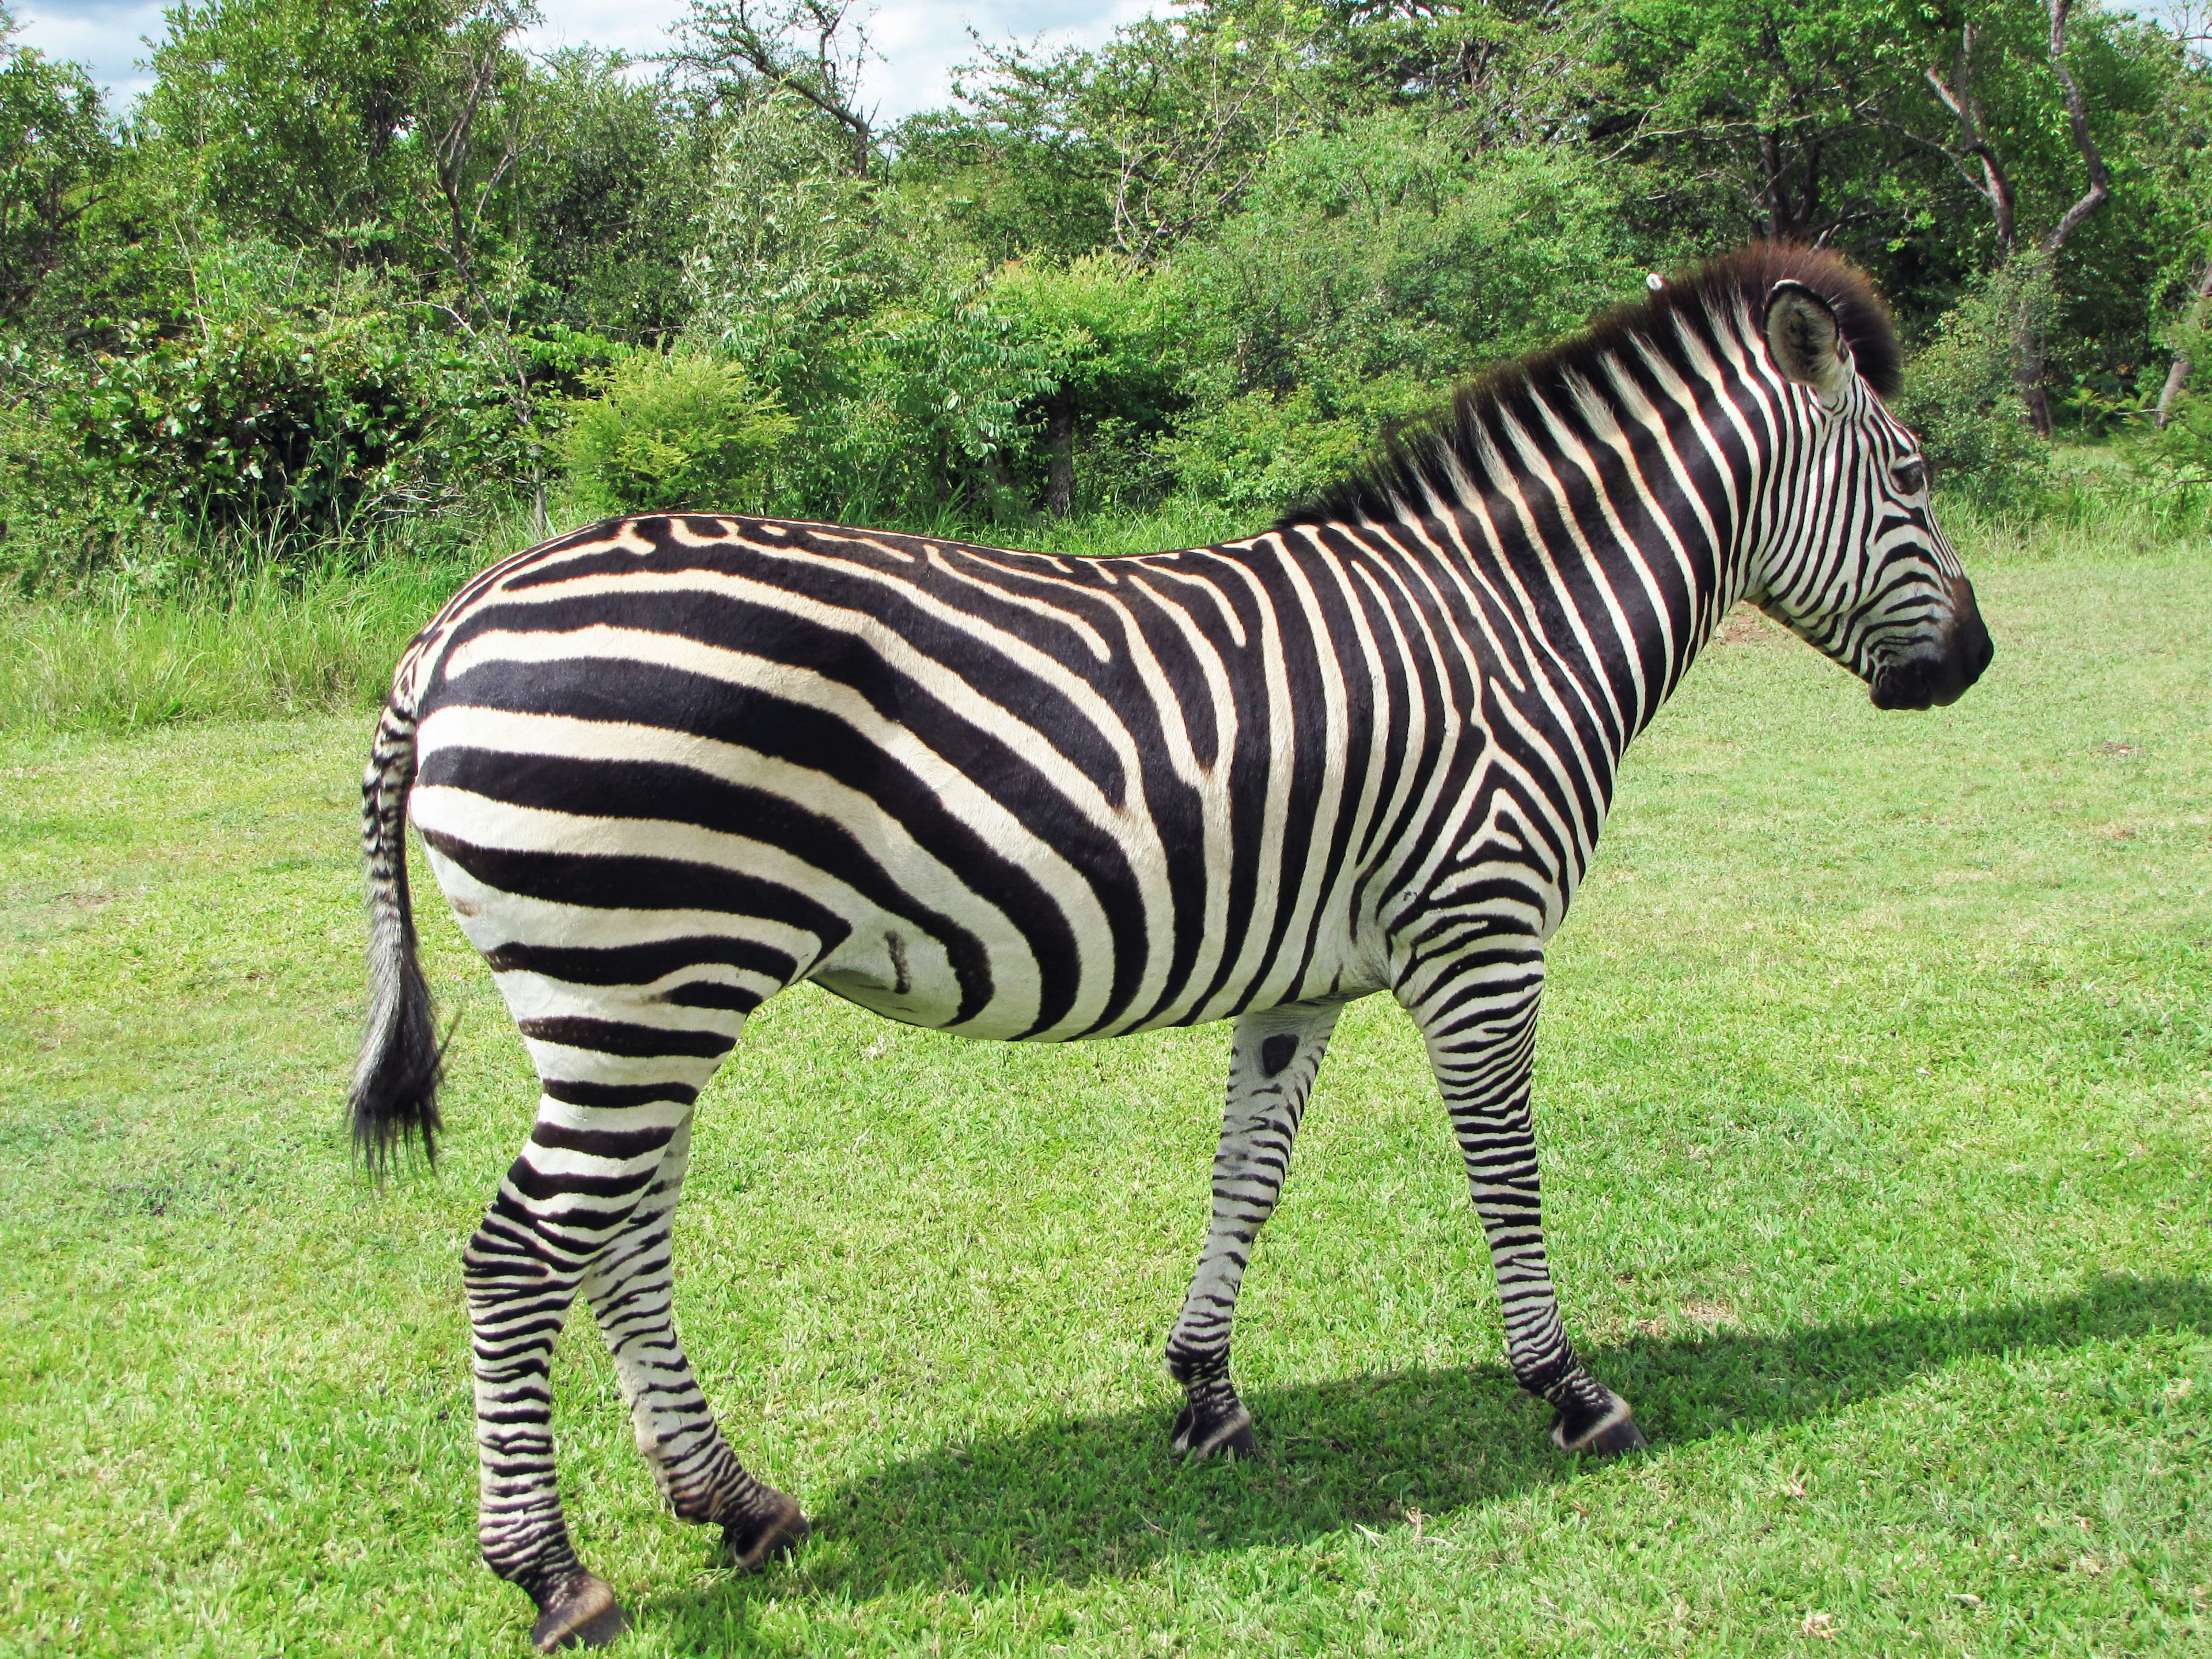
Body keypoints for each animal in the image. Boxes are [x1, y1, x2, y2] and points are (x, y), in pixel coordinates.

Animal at [354, 243, 1999, 1654]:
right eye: (1914, 477)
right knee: (520, 1254)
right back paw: (553, 1574)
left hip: (646, 990)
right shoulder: (1480, 932)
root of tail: (453, 623)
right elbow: (1505, 1171)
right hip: (642, 981)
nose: (1975, 664)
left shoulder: (1305, 977)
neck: (1515, 626)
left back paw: (737, 1504)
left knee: (621, 1237)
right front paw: (1571, 1391)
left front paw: (1206, 1393)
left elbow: (1247, 1177)